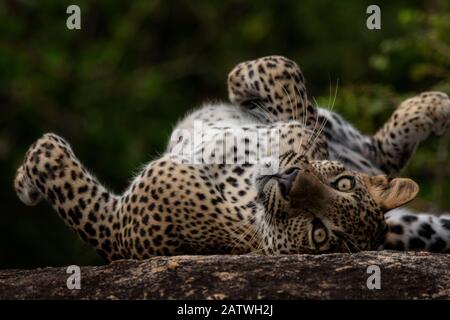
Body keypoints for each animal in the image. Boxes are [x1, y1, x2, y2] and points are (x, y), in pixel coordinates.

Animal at [14, 55, 450, 262]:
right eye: (340, 183)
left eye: (320, 233)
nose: (289, 181)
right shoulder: (297, 129)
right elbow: (287, 80)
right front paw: (244, 83)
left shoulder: (118, 227)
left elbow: (52, 162)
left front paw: (28, 180)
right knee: (376, 155)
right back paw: (435, 106)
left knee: (379, 155)